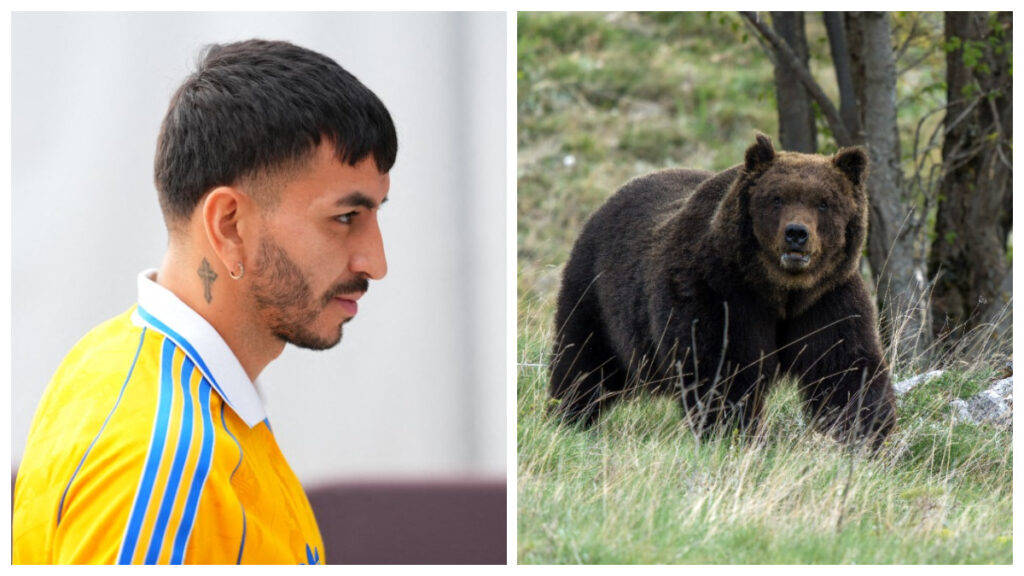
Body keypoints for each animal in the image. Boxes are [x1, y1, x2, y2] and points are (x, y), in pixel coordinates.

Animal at [549, 133, 896, 448]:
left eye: (823, 203)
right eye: (777, 198)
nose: (797, 234)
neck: (780, 289)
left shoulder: (825, 300)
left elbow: (844, 367)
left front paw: (869, 434)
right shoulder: (719, 292)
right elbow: (724, 370)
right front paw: (737, 433)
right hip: (597, 295)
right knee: (583, 361)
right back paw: (568, 415)